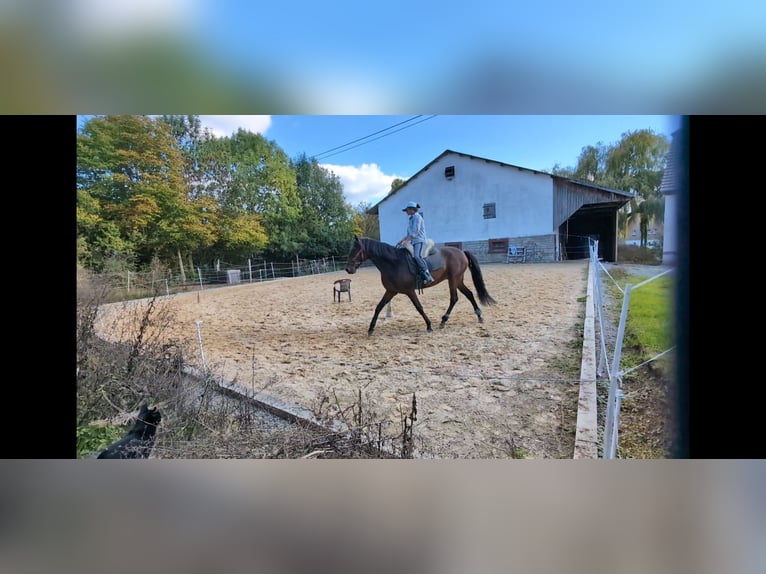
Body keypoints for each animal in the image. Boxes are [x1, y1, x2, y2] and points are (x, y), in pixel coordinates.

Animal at [344, 236, 496, 335]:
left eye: (356, 249)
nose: (348, 269)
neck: (393, 263)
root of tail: (461, 252)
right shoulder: (391, 291)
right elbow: (378, 307)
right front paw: (371, 328)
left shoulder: (409, 291)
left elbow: (419, 307)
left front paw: (429, 326)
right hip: (458, 280)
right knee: (469, 294)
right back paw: (479, 316)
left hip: (453, 280)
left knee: (454, 298)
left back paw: (444, 321)